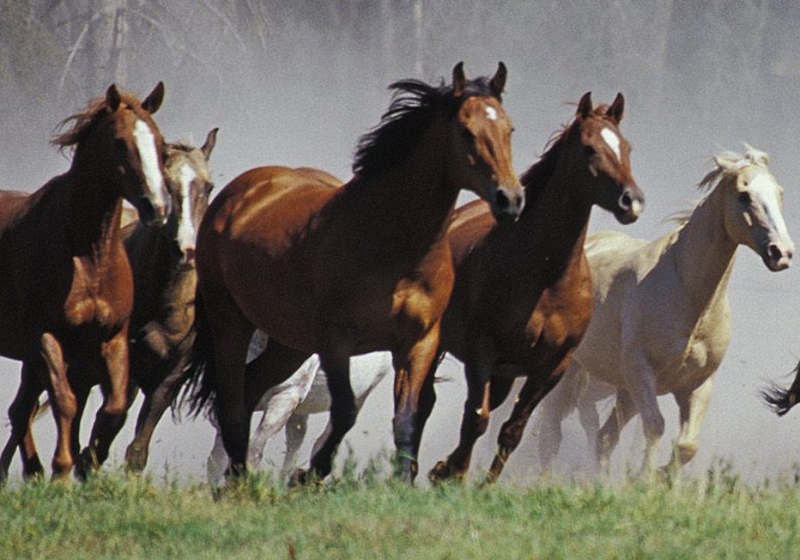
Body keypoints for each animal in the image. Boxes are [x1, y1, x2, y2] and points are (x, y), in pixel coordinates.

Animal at [0, 83, 170, 482]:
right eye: (120, 143)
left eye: (160, 143)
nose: (156, 207)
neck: (89, 256)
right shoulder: (46, 338)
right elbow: (65, 401)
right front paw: (62, 470)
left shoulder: (113, 338)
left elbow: (115, 407)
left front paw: (87, 461)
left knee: (20, 410)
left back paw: (31, 471)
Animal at [206, 332, 394, 486]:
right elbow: (217, 459)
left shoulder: (286, 397)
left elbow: (253, 452)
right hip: (299, 409)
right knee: (296, 441)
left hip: (359, 394)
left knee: (320, 441)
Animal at [422, 93, 648, 486]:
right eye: (588, 148)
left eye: (627, 147)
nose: (630, 201)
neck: (546, 278)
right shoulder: (482, 352)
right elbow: (476, 419)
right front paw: (455, 475)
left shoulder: (552, 366)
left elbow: (512, 430)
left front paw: (480, 484)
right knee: (424, 402)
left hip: (504, 373)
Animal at [536, 145, 792, 476]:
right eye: (743, 195)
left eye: (779, 193)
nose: (781, 252)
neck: (689, 299)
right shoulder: (642, 373)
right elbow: (656, 427)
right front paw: (645, 479)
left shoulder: (697, 385)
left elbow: (686, 446)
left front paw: (661, 477)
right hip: (572, 375)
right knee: (551, 435)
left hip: (623, 390)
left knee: (604, 438)